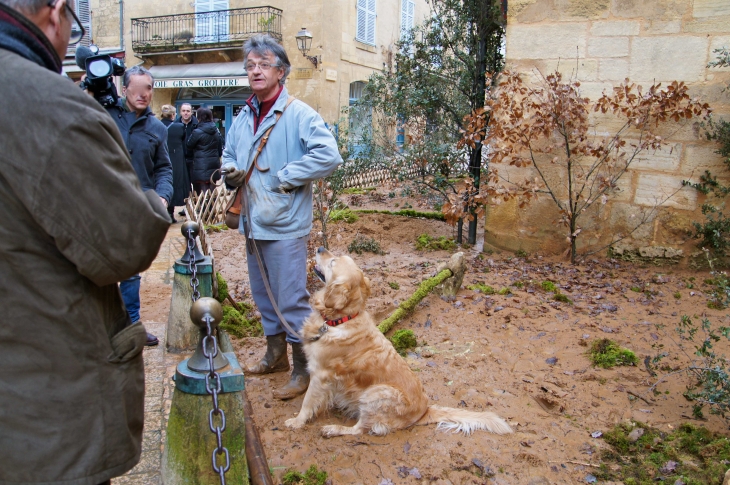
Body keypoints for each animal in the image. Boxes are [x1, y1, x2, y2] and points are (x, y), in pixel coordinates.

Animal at [284, 248, 512, 436]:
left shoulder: (320, 373)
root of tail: (425, 410)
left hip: (376, 393)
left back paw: (333, 429)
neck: (340, 319)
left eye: (332, 262)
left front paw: (297, 421)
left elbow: (307, 402)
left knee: (360, 429)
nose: (320, 247)